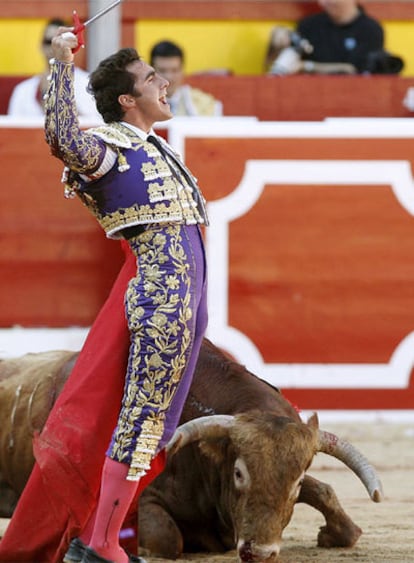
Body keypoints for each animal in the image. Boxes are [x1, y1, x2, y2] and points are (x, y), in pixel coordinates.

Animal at [0, 340, 382, 563]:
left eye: (296, 480)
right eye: (238, 472)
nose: (259, 553)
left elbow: (326, 493)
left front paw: (333, 532)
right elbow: (169, 539)